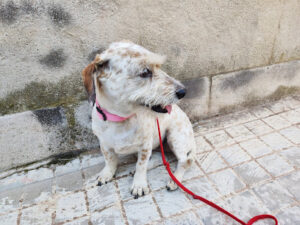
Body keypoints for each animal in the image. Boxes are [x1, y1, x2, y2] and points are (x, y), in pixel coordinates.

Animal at [81, 41, 196, 198]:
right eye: (145, 72)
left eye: (158, 66)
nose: (183, 91)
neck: (120, 119)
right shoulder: (104, 144)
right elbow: (109, 160)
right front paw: (107, 174)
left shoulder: (145, 147)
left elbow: (141, 166)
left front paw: (139, 184)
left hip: (175, 138)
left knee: (185, 161)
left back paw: (174, 180)